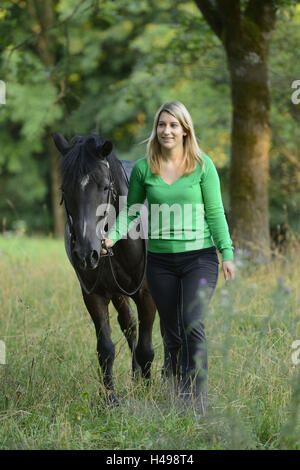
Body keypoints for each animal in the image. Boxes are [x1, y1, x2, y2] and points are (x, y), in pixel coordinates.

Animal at [51, 133, 156, 408]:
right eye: (64, 189)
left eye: (106, 187)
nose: (86, 253)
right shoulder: (94, 294)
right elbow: (105, 348)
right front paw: (110, 398)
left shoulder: (147, 294)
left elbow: (147, 348)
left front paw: (150, 393)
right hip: (118, 293)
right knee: (129, 326)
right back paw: (136, 375)